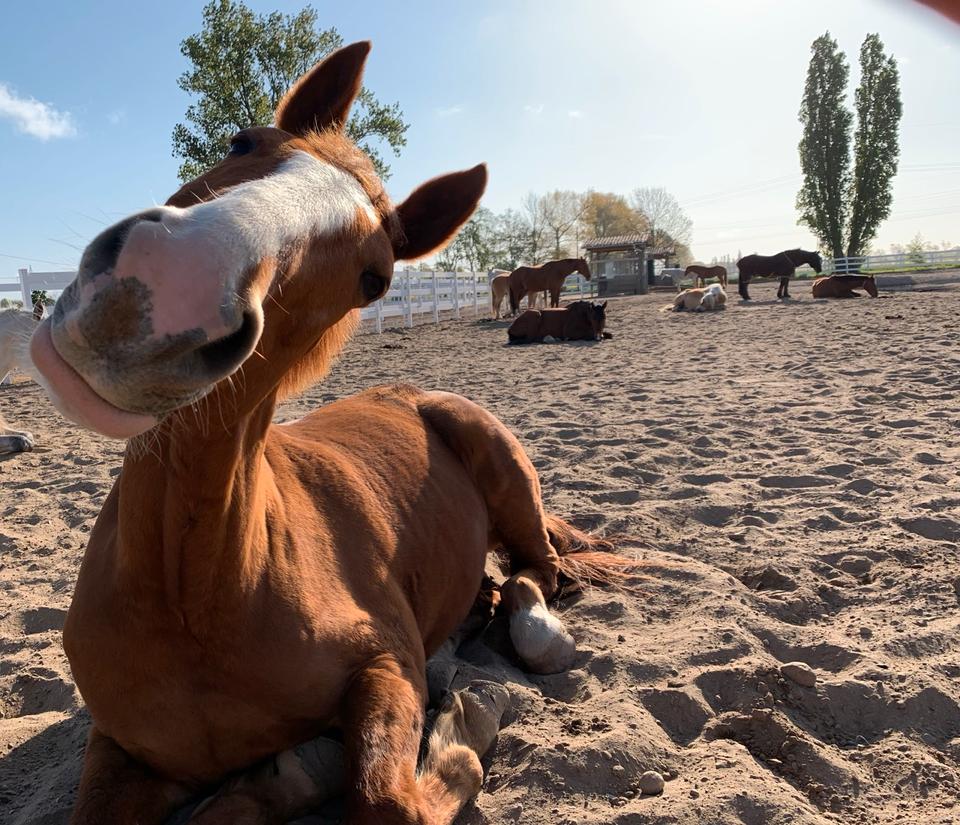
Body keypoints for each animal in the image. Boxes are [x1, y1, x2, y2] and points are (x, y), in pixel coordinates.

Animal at [26, 42, 632, 825]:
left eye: (374, 280)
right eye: (241, 142)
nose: (160, 293)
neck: (189, 593)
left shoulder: (388, 662)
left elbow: (386, 797)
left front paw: (463, 726)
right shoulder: (121, 749)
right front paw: (287, 774)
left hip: (507, 481)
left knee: (539, 576)